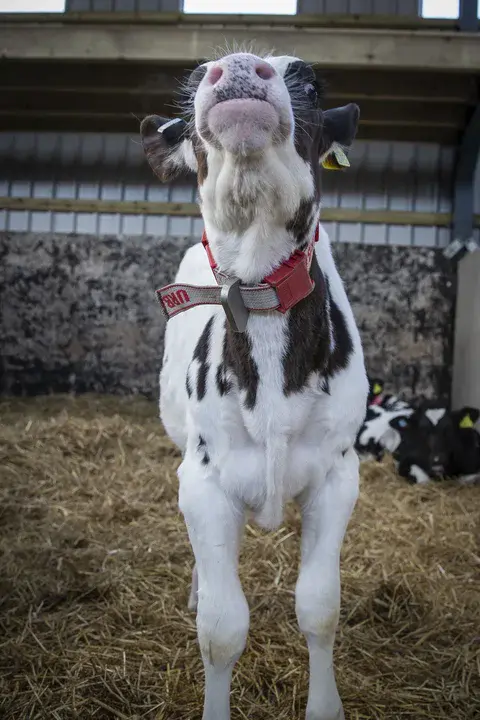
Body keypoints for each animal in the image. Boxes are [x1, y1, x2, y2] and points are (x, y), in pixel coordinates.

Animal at [139, 52, 368, 720]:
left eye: (310, 81)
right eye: (193, 81)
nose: (238, 65)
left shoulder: (338, 473)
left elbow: (320, 607)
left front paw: (324, 706)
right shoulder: (203, 477)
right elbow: (221, 629)